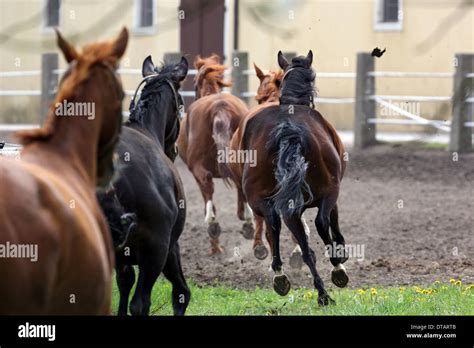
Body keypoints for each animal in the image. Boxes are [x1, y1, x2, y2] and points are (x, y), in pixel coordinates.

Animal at [97, 54, 190, 316]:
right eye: (181, 103)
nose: (174, 150)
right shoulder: (167, 247)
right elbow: (180, 294)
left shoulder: (122, 256)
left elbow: (124, 283)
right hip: (156, 251)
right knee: (143, 302)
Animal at [241, 51, 348, 304]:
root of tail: (288, 130)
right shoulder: (333, 194)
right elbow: (333, 223)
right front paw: (341, 252)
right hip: (329, 189)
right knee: (321, 223)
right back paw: (337, 270)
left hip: (265, 200)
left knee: (278, 226)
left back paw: (295, 282)